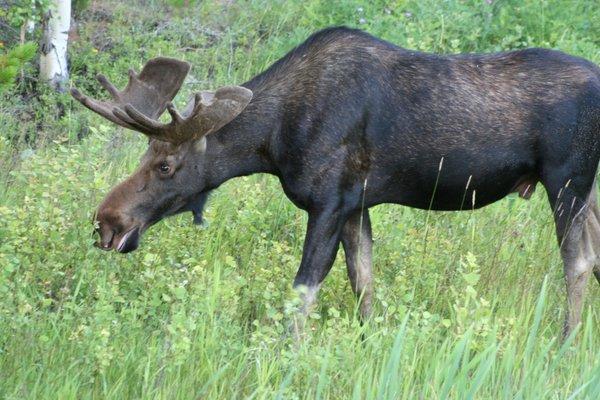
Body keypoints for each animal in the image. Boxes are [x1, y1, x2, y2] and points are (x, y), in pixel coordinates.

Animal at [72, 26, 600, 338]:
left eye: (165, 166)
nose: (105, 221)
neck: (274, 140)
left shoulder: (329, 201)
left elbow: (303, 292)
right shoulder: (356, 204)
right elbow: (362, 282)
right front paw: (368, 342)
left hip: (567, 181)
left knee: (577, 262)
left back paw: (565, 341)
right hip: (589, 189)